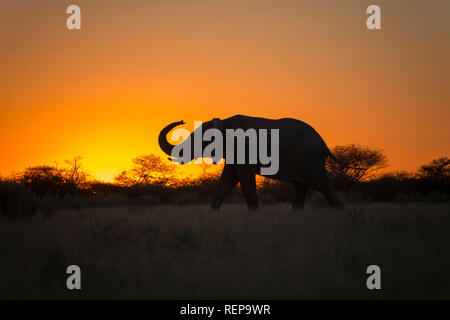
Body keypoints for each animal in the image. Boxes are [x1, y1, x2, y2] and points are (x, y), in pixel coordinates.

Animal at [159, 114, 344, 210]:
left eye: (200, 140)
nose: (181, 120)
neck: (224, 122)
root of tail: (323, 143)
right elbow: (228, 179)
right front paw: (213, 213)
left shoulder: (244, 149)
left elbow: (243, 178)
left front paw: (254, 214)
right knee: (301, 187)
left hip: (311, 160)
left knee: (323, 186)